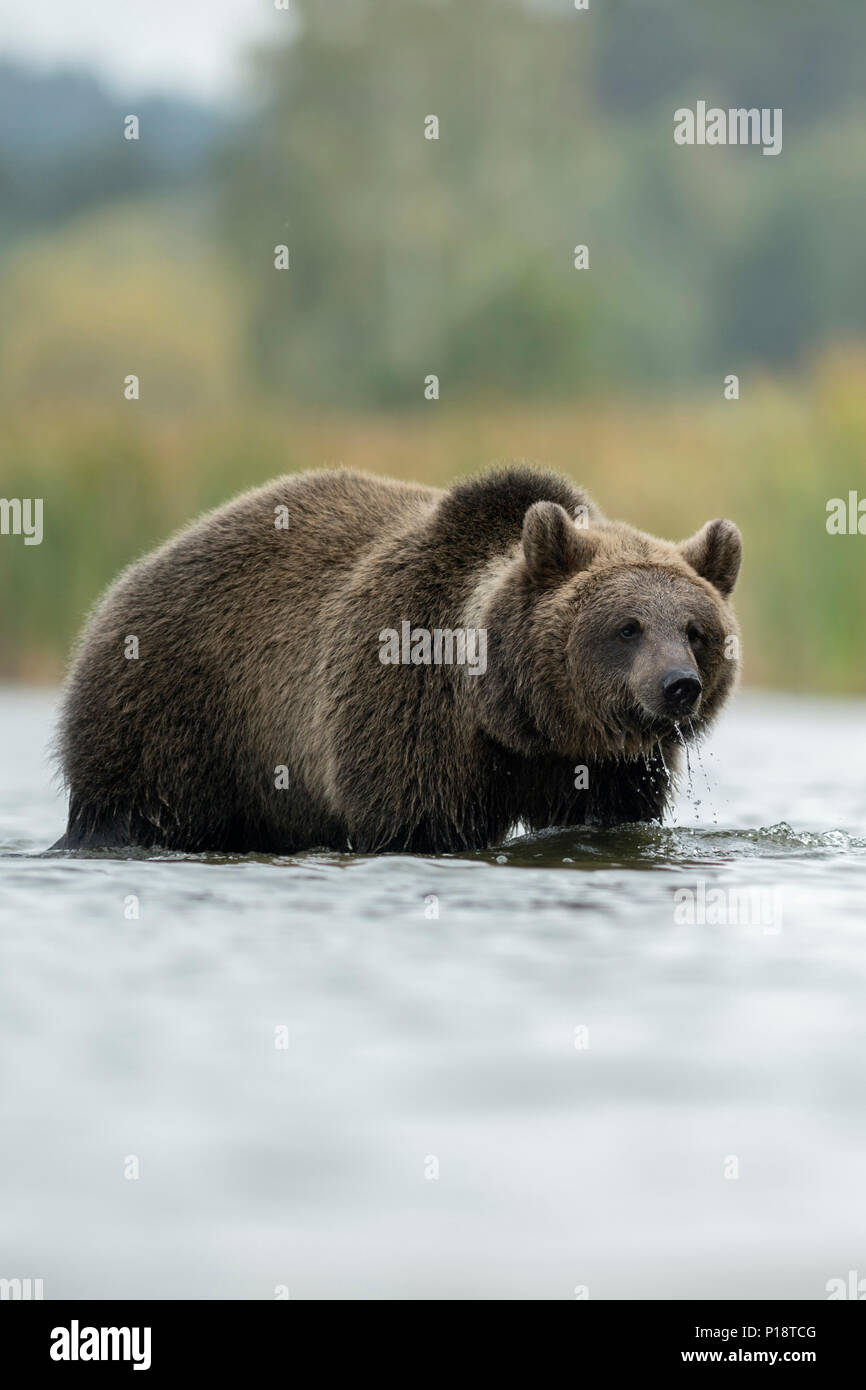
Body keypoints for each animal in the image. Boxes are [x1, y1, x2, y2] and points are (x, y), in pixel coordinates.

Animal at [54, 465, 742, 855]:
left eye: (695, 630)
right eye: (628, 628)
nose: (678, 685)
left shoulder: (606, 766)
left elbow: (610, 818)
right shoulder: (407, 700)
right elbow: (417, 818)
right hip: (180, 707)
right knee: (138, 801)